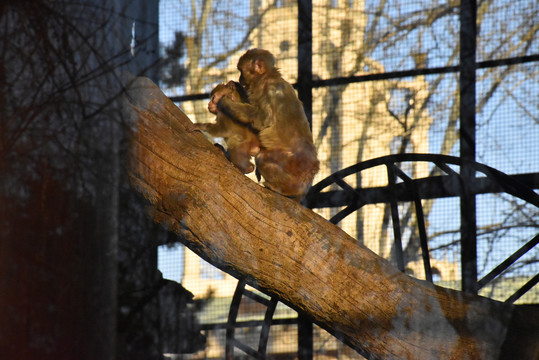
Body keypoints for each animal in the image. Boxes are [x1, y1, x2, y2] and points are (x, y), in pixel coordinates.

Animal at [217, 47, 320, 198]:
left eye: (241, 71)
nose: (240, 78)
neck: (268, 76)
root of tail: (312, 167)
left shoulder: (267, 89)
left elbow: (263, 119)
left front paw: (225, 103)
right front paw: (234, 86)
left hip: (293, 165)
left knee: (262, 157)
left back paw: (286, 190)